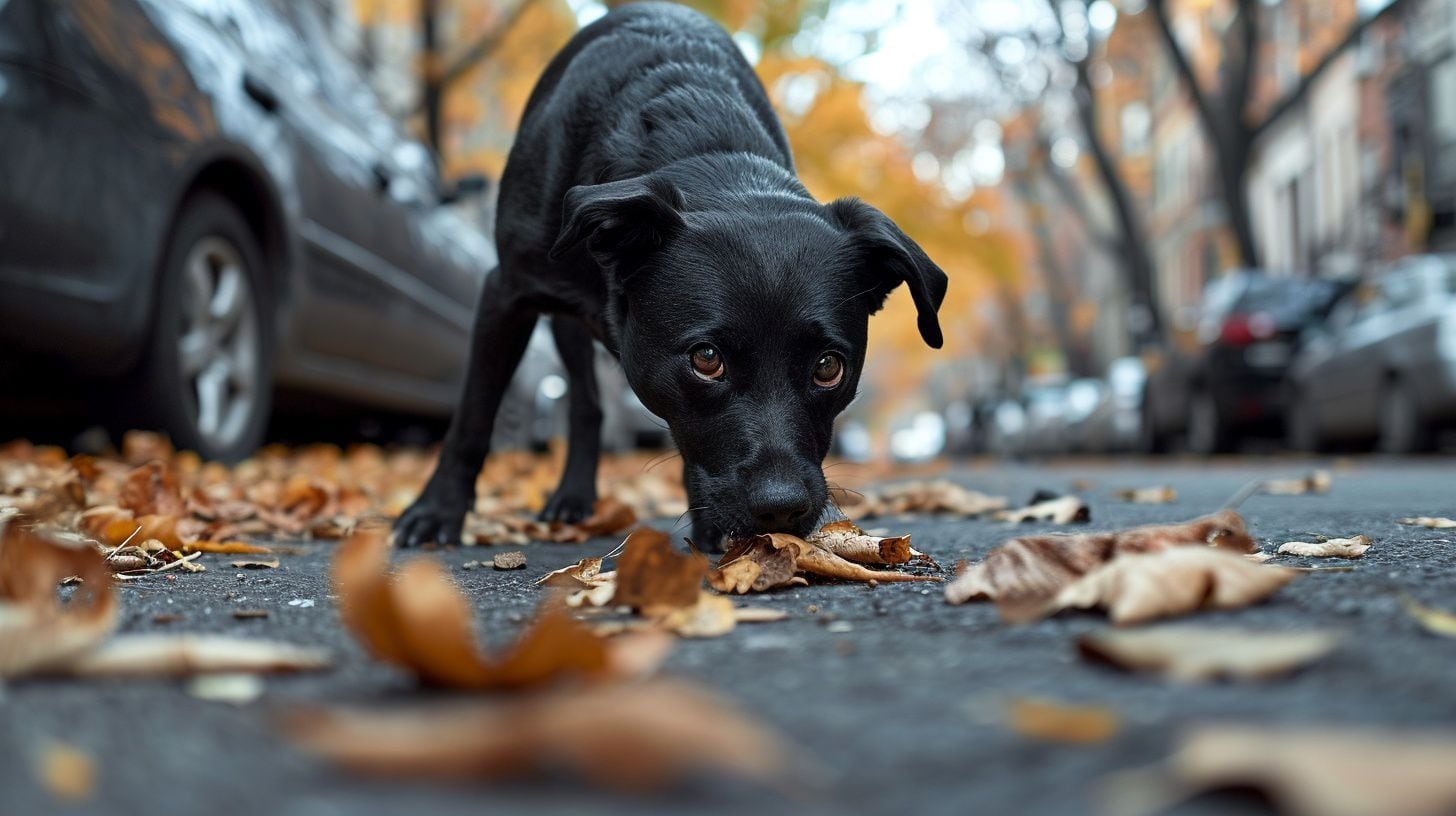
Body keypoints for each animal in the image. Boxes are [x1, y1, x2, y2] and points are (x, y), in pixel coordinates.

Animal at [393, 3, 949, 550]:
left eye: (829, 367)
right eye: (706, 359)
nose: (782, 508)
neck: (708, 149)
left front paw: (708, 527)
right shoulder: (505, 291)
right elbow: (473, 415)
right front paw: (436, 513)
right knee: (585, 402)